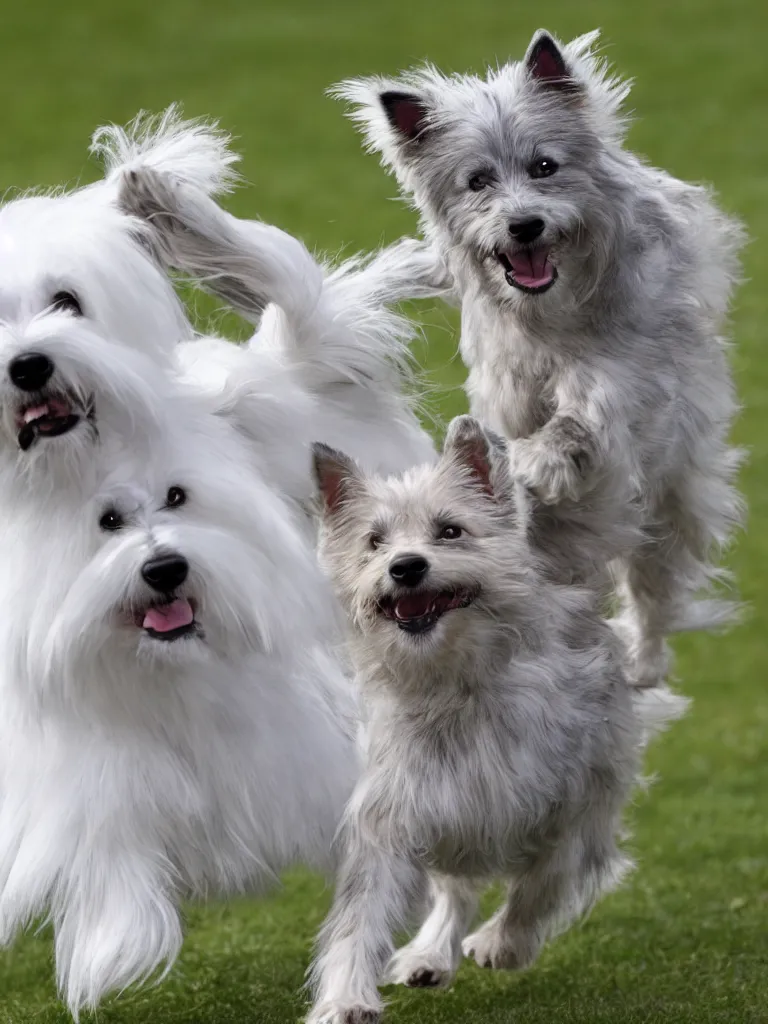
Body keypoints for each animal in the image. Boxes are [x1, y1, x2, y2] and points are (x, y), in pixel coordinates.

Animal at [0, 385, 360, 1015]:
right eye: (108, 520)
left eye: (177, 497)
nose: (165, 567)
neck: (168, 675)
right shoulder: (92, 779)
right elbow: (110, 842)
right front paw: (116, 947)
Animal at [307, 415, 684, 1024]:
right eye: (374, 542)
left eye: (450, 531)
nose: (405, 567)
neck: (456, 687)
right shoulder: (397, 816)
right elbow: (360, 917)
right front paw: (345, 998)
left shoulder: (575, 806)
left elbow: (543, 882)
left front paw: (504, 942)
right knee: (454, 889)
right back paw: (430, 953)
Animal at [333, 28, 749, 684]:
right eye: (477, 181)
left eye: (544, 166)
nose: (524, 225)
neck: (550, 317)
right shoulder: (507, 388)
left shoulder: (616, 382)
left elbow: (575, 428)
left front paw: (531, 465)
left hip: (674, 497)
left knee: (654, 585)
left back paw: (642, 660)